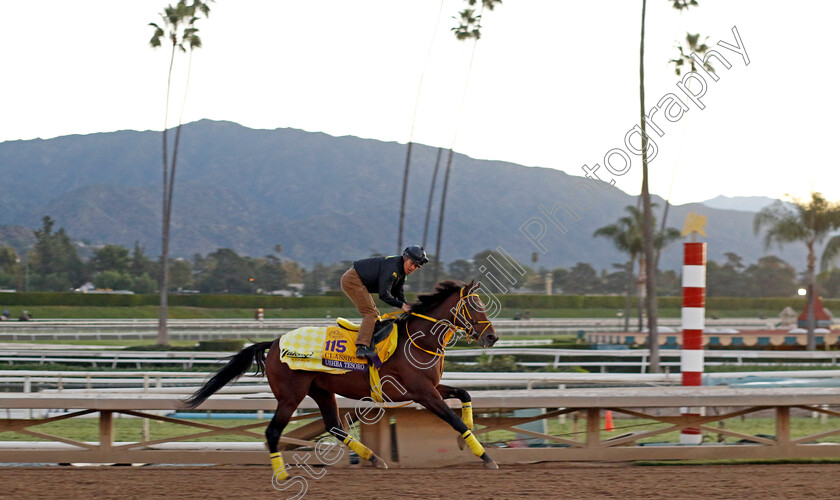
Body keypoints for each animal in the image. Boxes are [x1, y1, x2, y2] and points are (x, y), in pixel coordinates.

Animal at [185, 282, 498, 480]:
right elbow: (454, 420)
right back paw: (282, 474)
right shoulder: (422, 392)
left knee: (333, 425)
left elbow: (465, 393)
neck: (419, 340)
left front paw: (466, 440)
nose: (492, 337)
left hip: (321, 391)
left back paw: (374, 458)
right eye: (474, 306)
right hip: (291, 395)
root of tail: (274, 343)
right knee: (273, 432)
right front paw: (485, 456)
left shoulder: (430, 388)